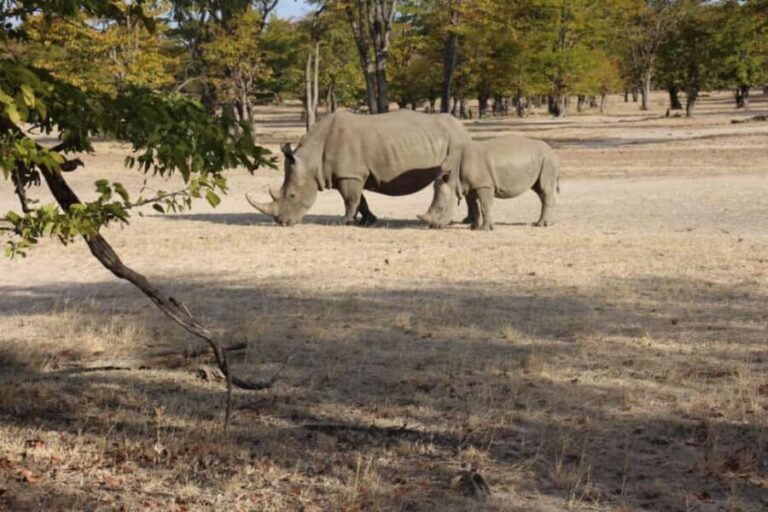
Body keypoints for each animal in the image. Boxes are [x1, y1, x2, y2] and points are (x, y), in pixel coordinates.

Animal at [246, 110, 471, 226]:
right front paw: (369, 221)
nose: (282, 222)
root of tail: (462, 126)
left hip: (457, 141)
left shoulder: (349, 175)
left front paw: (344, 221)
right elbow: (359, 199)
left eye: (292, 195)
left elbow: (350, 199)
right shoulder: (349, 175)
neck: (311, 159)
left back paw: (466, 221)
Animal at [419, 134, 560, 230]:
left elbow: (485, 206)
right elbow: (474, 207)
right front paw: (473, 228)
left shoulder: (484, 185)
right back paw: (550, 223)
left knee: (544, 189)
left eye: (440, 208)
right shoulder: (469, 187)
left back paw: (541, 225)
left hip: (548, 161)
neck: (452, 176)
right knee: (539, 190)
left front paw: (486, 229)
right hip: (543, 160)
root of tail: (551, 150)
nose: (433, 226)